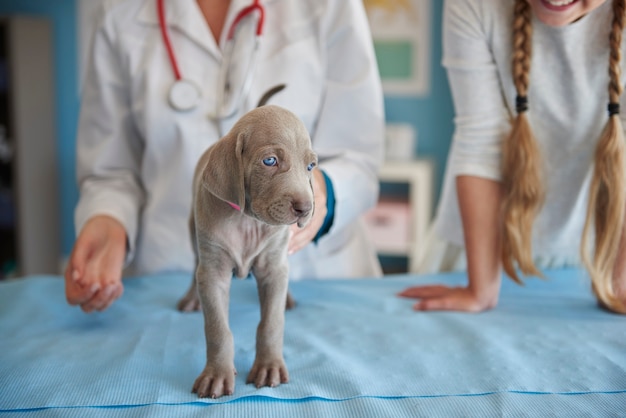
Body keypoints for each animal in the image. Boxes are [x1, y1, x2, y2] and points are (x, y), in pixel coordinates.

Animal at [177, 104, 316, 398]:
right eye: (270, 161)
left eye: (310, 166)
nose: (306, 208)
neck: (247, 221)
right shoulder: (214, 273)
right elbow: (217, 329)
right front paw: (216, 374)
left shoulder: (273, 268)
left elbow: (271, 323)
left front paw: (269, 366)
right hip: (193, 233)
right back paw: (191, 298)